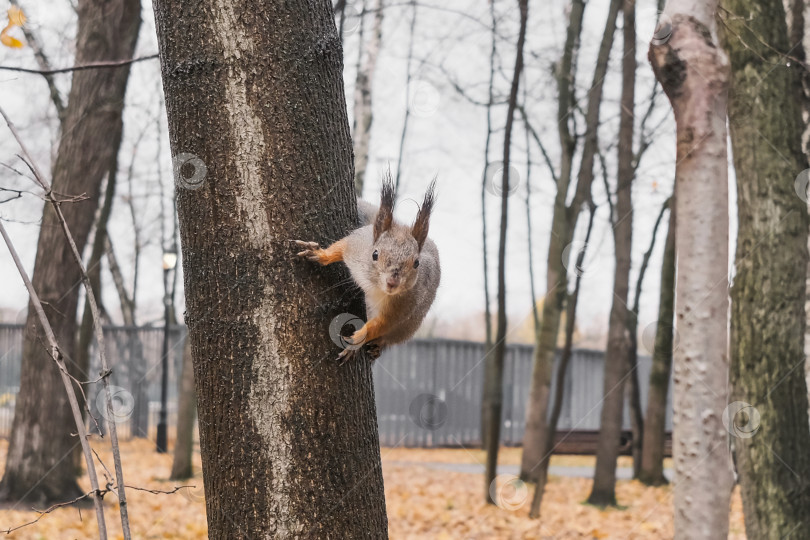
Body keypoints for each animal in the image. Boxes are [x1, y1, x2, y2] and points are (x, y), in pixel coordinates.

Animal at [294, 173, 438, 360]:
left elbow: (381, 325)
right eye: (375, 254)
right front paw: (320, 254)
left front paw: (358, 339)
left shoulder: (404, 305)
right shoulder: (356, 246)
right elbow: (340, 247)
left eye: (416, 263)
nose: (392, 283)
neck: (376, 287)